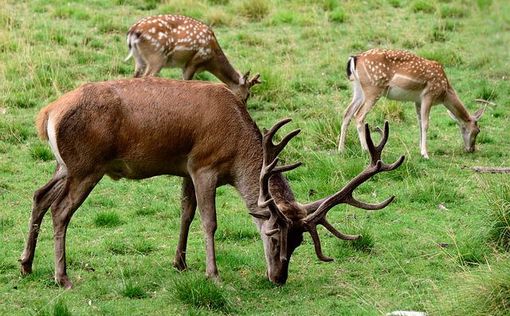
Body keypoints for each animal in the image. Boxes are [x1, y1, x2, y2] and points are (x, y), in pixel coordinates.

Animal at [18, 77, 402, 288]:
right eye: (274, 236)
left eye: (299, 243)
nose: (278, 278)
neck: (236, 148)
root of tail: (48, 113)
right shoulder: (204, 165)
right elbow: (208, 221)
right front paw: (213, 274)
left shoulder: (186, 168)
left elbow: (186, 213)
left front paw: (180, 262)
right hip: (87, 166)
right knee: (60, 210)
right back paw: (63, 277)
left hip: (64, 165)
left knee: (38, 196)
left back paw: (26, 265)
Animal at [125, 14, 260, 102]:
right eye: (247, 95)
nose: (243, 107)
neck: (210, 60)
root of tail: (133, 32)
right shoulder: (194, 62)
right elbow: (187, 82)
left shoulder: (186, 65)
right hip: (156, 57)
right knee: (146, 77)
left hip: (139, 59)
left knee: (135, 76)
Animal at [338, 48, 486, 159]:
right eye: (477, 131)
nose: (471, 149)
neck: (445, 92)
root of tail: (354, 58)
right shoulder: (428, 95)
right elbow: (426, 124)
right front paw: (425, 154)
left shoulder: (417, 100)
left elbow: (419, 124)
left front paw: (420, 149)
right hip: (373, 89)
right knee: (359, 115)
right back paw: (365, 150)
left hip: (358, 89)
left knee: (347, 113)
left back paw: (341, 150)